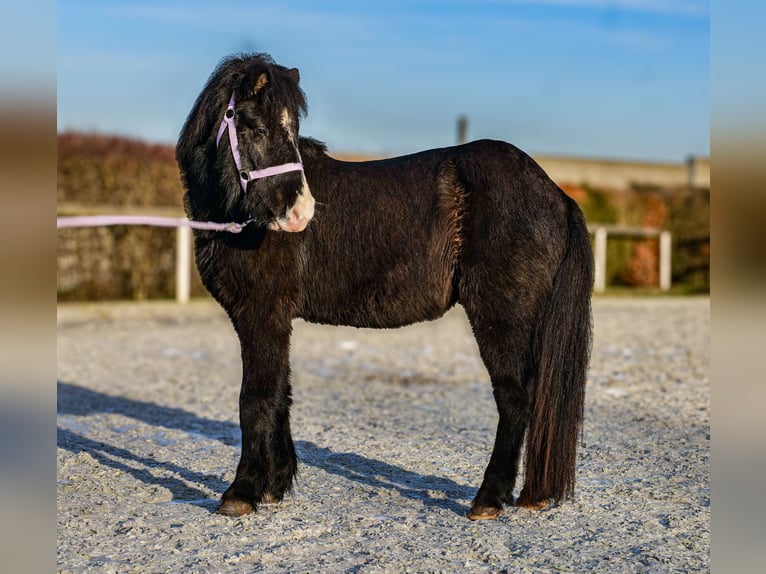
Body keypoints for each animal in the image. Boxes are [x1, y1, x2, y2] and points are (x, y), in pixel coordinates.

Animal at [177, 54, 596, 520]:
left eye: (289, 130)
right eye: (254, 126)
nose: (301, 212)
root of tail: (556, 194)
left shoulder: (261, 313)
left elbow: (256, 399)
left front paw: (242, 492)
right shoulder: (276, 318)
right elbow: (280, 393)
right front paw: (275, 485)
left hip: (502, 315)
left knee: (515, 397)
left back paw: (488, 498)